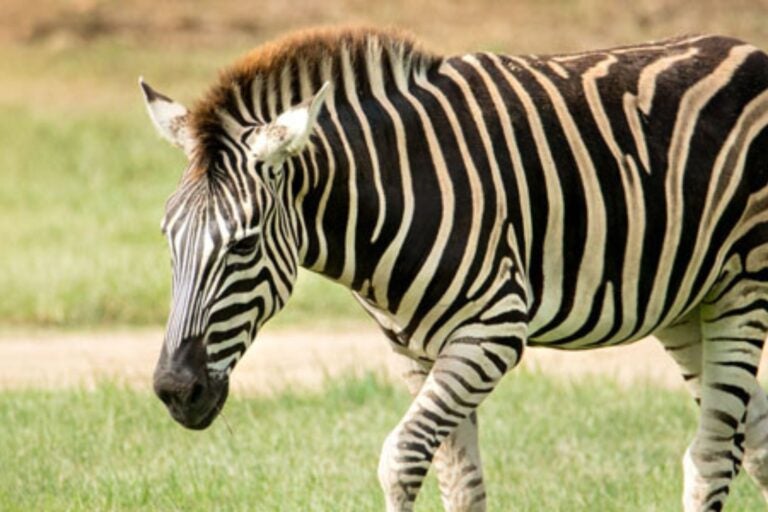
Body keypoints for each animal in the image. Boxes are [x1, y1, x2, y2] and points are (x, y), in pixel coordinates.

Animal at [142, 27, 768, 511]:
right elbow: (461, 483)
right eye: (168, 239)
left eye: (244, 245)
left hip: (742, 289)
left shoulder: (492, 331)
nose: (175, 391)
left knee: (712, 457)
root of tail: (747, 49)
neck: (397, 191)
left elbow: (398, 460)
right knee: (753, 441)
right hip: (688, 306)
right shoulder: (417, 352)